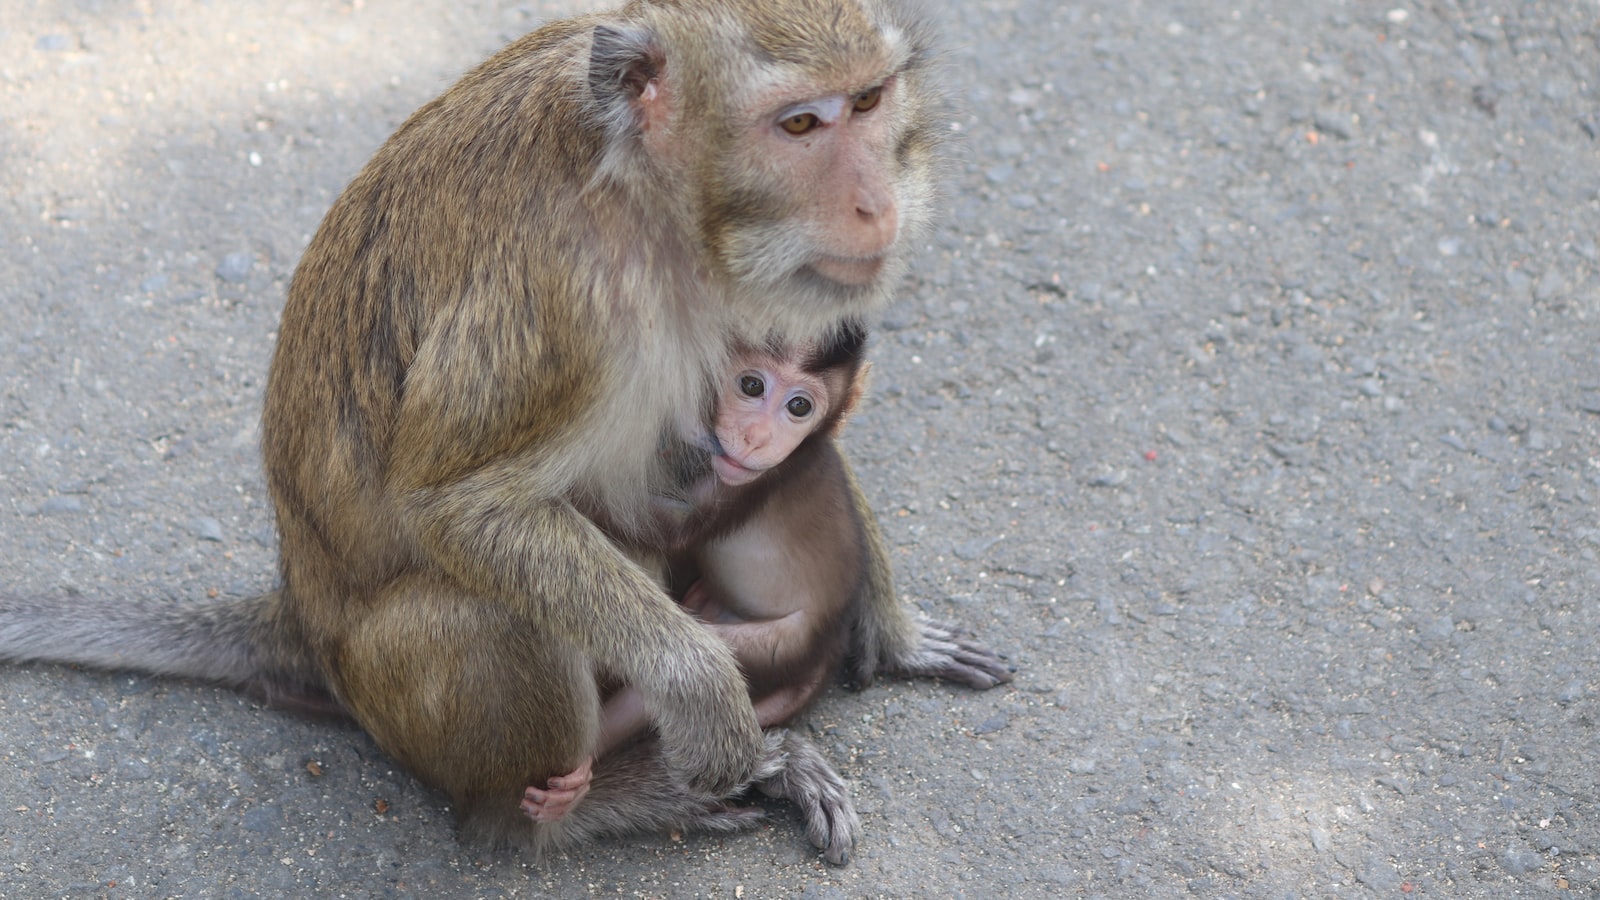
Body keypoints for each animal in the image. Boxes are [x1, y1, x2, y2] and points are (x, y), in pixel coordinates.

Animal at [0, 0, 985, 851]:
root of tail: (297, 616)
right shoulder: (563, 301)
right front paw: (702, 689)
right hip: (401, 695)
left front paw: (894, 626)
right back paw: (587, 805)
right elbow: (458, 504)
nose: (878, 204)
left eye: (869, 101)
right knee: (503, 624)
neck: (645, 195)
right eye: (800, 125)